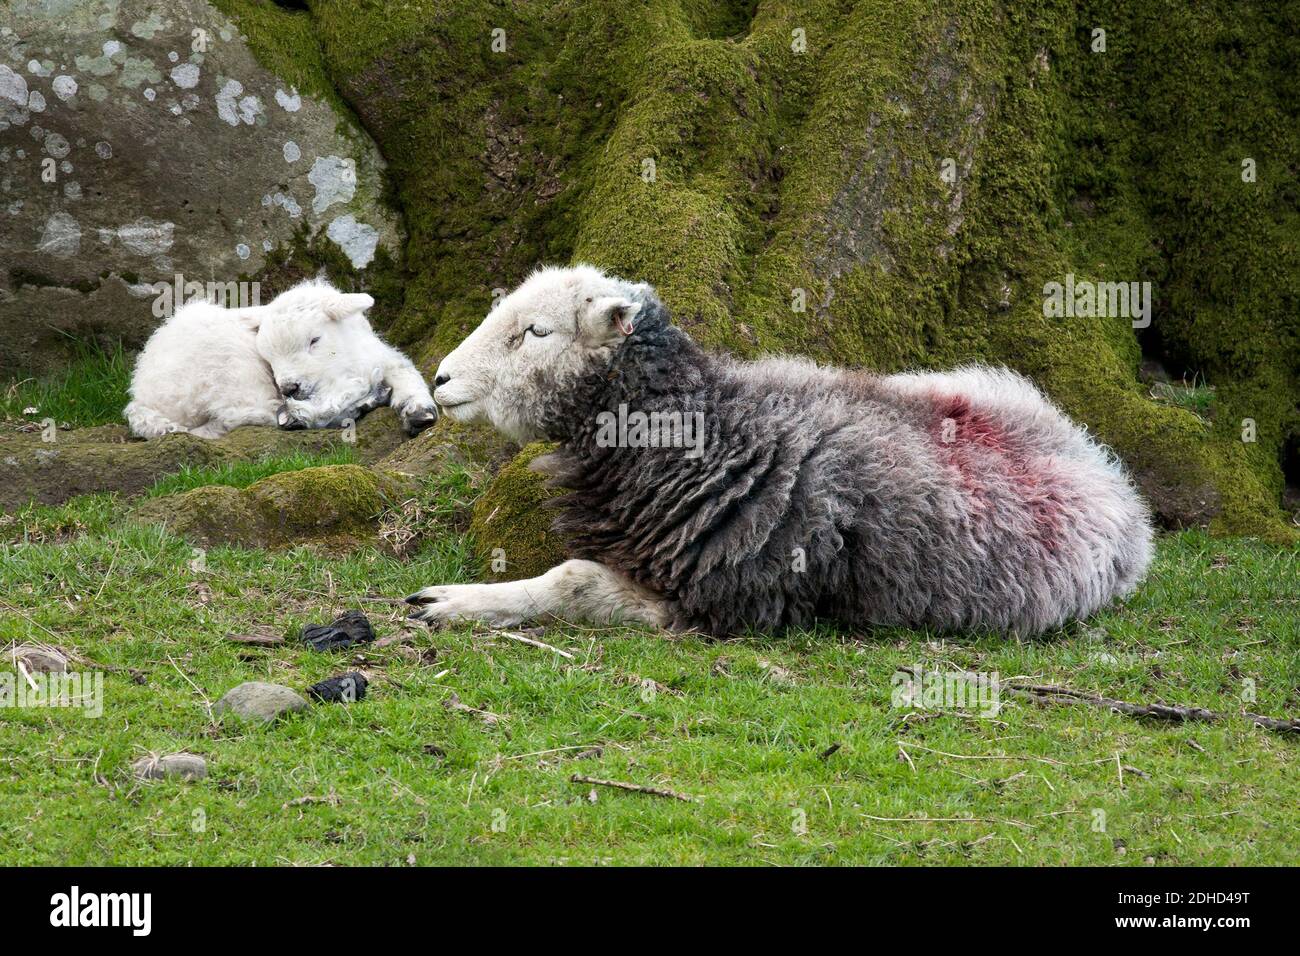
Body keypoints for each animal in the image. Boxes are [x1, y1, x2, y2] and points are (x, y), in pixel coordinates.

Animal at [127, 278, 441, 439]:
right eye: (268, 356)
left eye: (314, 340)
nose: (290, 386)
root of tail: (141, 396)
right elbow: (347, 390)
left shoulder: (379, 355)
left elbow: (404, 369)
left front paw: (420, 412)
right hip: (227, 369)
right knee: (247, 414)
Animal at [408, 265, 1159, 634]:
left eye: (537, 332)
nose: (440, 377)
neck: (715, 431)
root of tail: (1092, 453)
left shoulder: (721, 600)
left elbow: (574, 580)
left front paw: (456, 601)